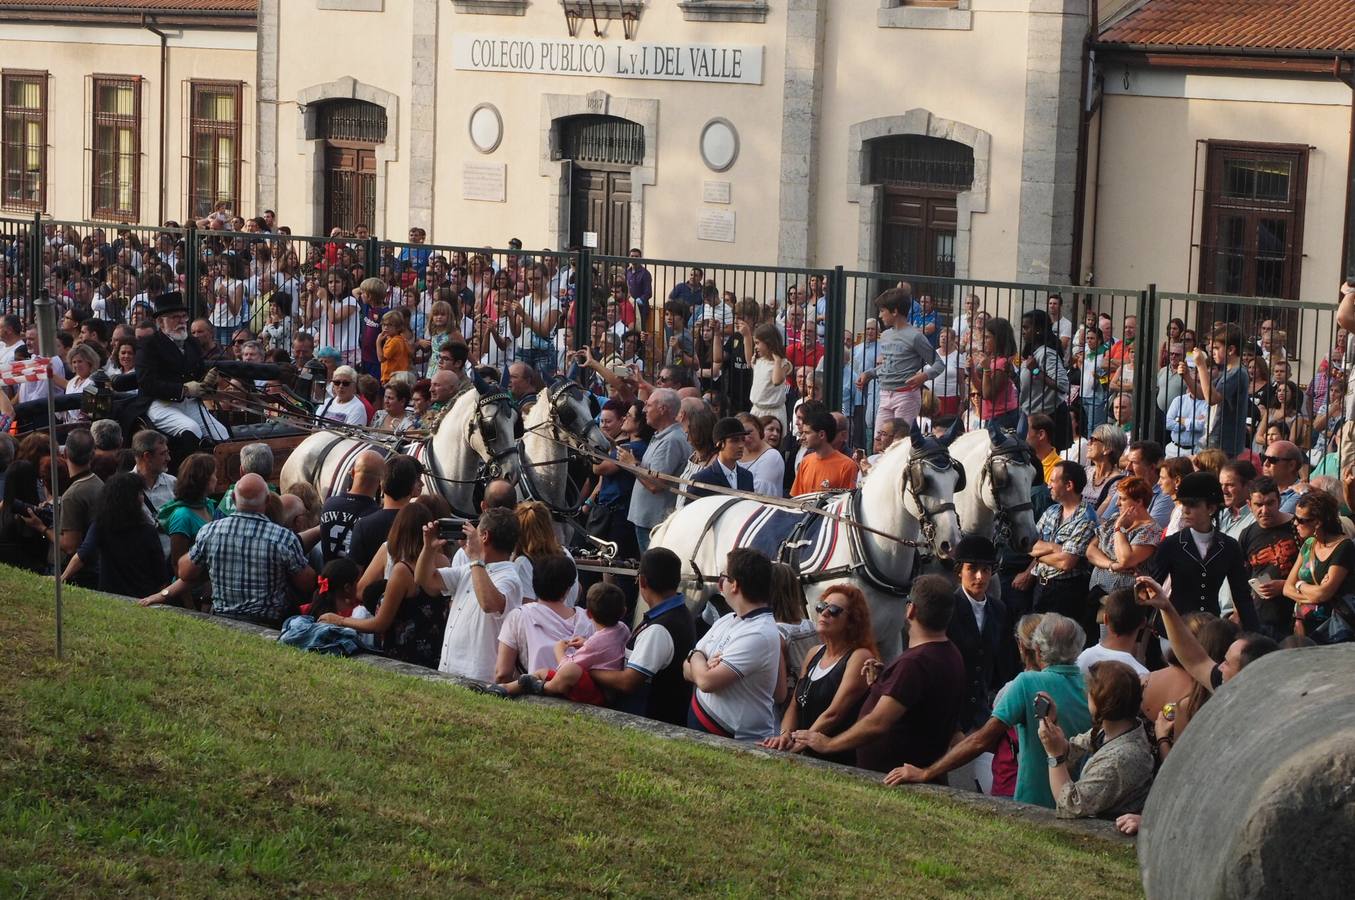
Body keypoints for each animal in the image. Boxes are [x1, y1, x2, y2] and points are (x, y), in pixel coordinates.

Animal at [647, 428, 959, 661]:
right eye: (924, 480)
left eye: (957, 479)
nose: (951, 542)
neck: (864, 545)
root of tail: (678, 515)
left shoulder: (889, 638)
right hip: (688, 593)